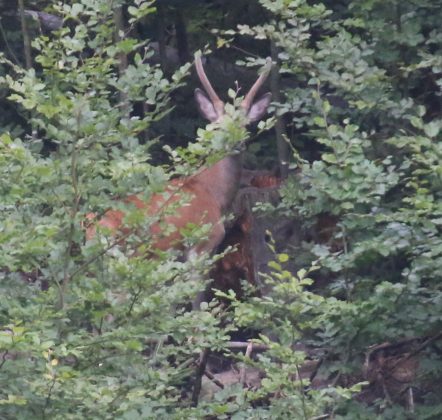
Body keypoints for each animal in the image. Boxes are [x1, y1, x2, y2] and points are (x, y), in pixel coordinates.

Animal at [85, 53, 272, 308]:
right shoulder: (201, 245)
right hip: (127, 260)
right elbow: (196, 301)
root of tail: (90, 225)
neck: (213, 192)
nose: (235, 143)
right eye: (217, 125)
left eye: (245, 126)